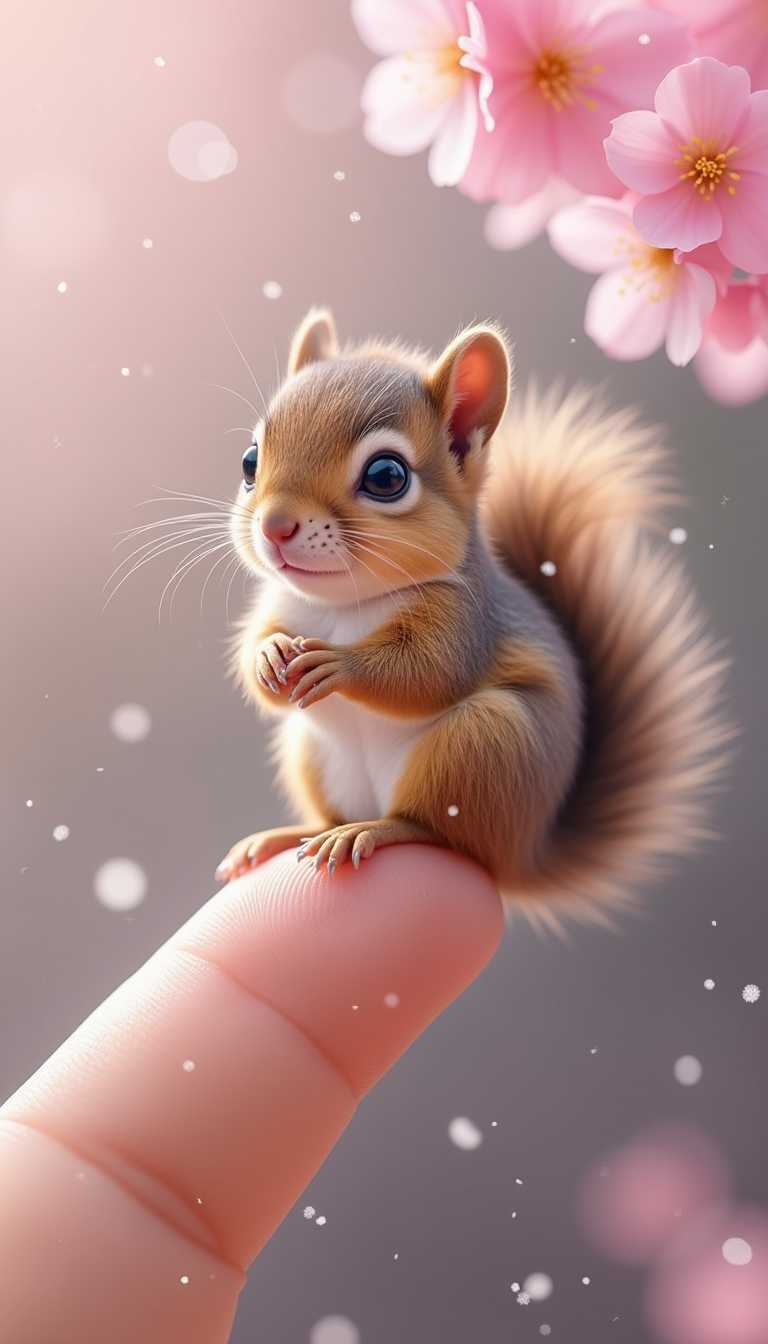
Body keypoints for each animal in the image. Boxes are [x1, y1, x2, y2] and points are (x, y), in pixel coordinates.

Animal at [215, 308, 729, 925]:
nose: (275, 525)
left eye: (386, 477)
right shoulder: (281, 605)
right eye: (249, 461)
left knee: (439, 833)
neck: (344, 606)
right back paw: (287, 835)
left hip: (484, 743)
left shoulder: (465, 621)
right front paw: (269, 656)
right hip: (312, 752)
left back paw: (375, 831)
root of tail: (524, 851)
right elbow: (256, 654)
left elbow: (427, 672)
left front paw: (338, 666)